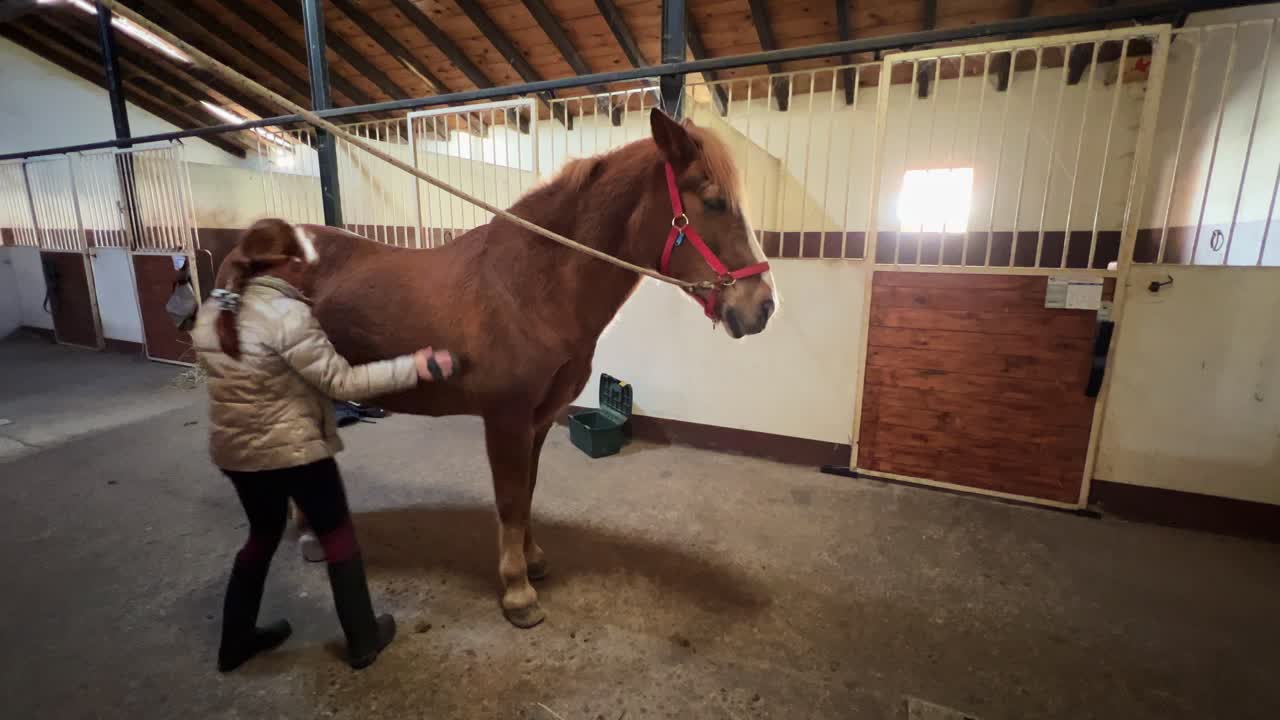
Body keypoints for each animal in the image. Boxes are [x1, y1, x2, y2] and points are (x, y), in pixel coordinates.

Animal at [216, 109, 777, 628]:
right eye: (713, 201)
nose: (763, 306)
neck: (530, 287)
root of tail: (247, 250)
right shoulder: (505, 418)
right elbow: (509, 499)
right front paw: (517, 592)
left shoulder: (539, 421)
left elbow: (526, 493)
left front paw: (533, 562)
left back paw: (310, 533)